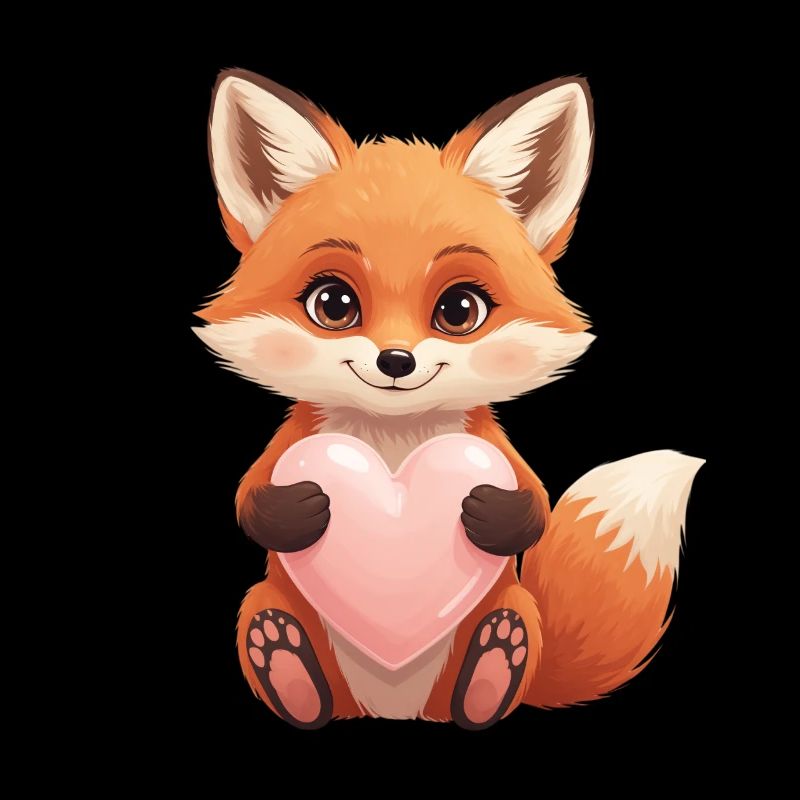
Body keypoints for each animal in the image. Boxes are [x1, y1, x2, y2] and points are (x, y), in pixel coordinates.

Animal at [194, 69, 704, 730]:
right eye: (333, 304)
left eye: (460, 310)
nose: (396, 361)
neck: (394, 445)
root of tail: (394, 712)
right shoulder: (290, 441)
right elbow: (248, 497)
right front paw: (297, 509)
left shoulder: (493, 447)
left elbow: (534, 503)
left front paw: (492, 514)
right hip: (263, 601)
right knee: (278, 638)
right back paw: (289, 668)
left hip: (511, 608)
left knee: (498, 651)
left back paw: (492, 669)